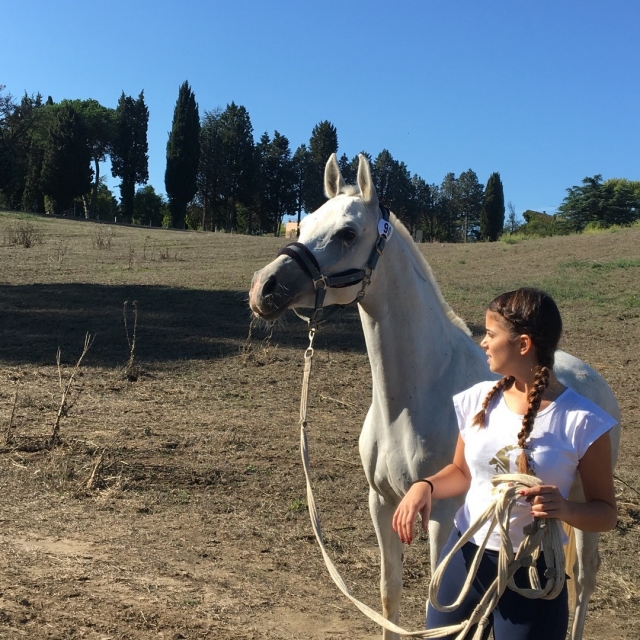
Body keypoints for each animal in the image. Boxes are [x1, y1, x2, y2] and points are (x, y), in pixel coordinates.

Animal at [249, 153, 621, 640]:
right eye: (304, 224)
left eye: (347, 233)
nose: (264, 288)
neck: (411, 398)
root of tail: (593, 378)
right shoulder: (382, 503)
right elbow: (389, 596)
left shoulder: (444, 517)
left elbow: (441, 600)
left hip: (581, 501)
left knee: (585, 576)